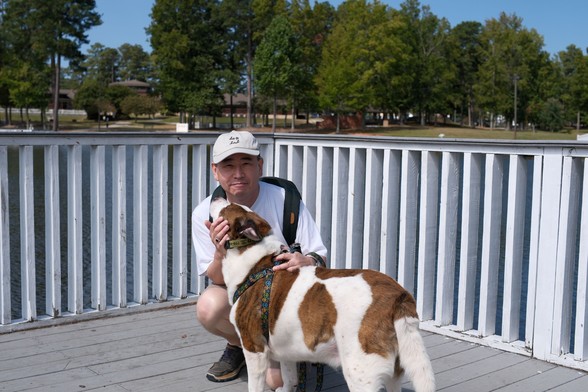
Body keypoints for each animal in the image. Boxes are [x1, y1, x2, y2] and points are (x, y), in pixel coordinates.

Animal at [211, 199, 436, 392]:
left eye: (227, 207)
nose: (217, 196)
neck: (256, 263)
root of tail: (398, 295)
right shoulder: (285, 349)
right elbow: (289, 376)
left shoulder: (254, 348)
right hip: (395, 369)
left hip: (360, 370)